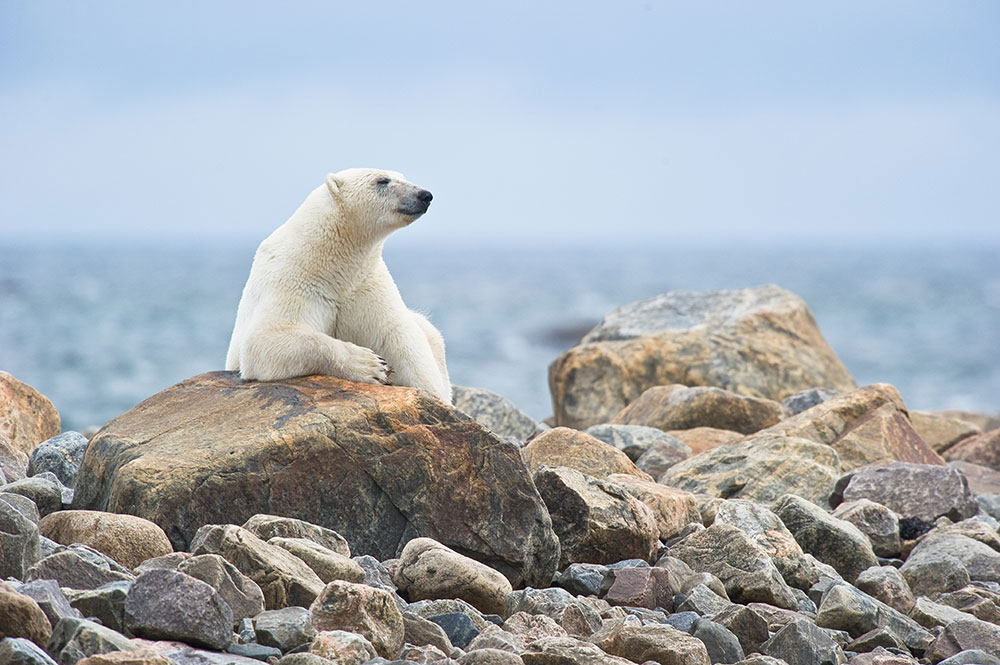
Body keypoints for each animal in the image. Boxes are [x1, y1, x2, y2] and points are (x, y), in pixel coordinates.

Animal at [225, 168, 452, 404]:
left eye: (403, 177)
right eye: (382, 181)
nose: (424, 195)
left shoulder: (365, 284)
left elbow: (399, 338)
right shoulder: (293, 278)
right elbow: (265, 339)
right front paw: (371, 365)